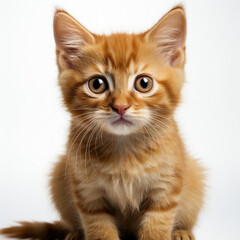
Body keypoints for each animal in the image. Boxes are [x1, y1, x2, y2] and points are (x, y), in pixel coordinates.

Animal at [0, 5, 205, 240]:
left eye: (144, 83)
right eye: (97, 84)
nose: (121, 107)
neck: (124, 152)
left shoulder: (166, 186)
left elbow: (157, 225)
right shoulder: (88, 193)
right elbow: (99, 228)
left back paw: (181, 231)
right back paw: (74, 233)